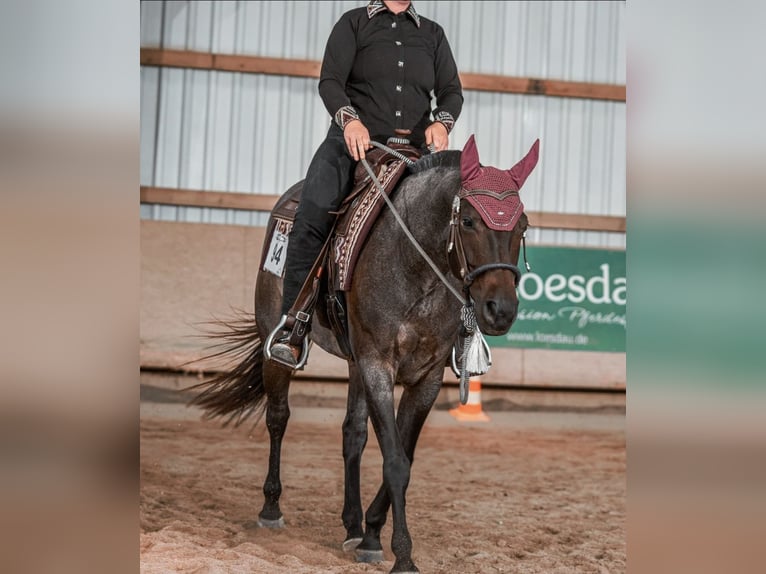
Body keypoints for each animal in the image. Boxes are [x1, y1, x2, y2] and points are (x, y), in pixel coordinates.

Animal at [190, 134, 540, 573]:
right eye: (468, 222)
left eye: (522, 226)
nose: (500, 310)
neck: (414, 266)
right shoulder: (377, 366)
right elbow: (394, 460)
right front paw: (402, 555)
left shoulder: (424, 378)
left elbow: (403, 455)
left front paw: (372, 533)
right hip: (279, 343)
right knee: (278, 417)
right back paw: (271, 508)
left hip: (355, 364)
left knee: (352, 434)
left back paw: (352, 524)